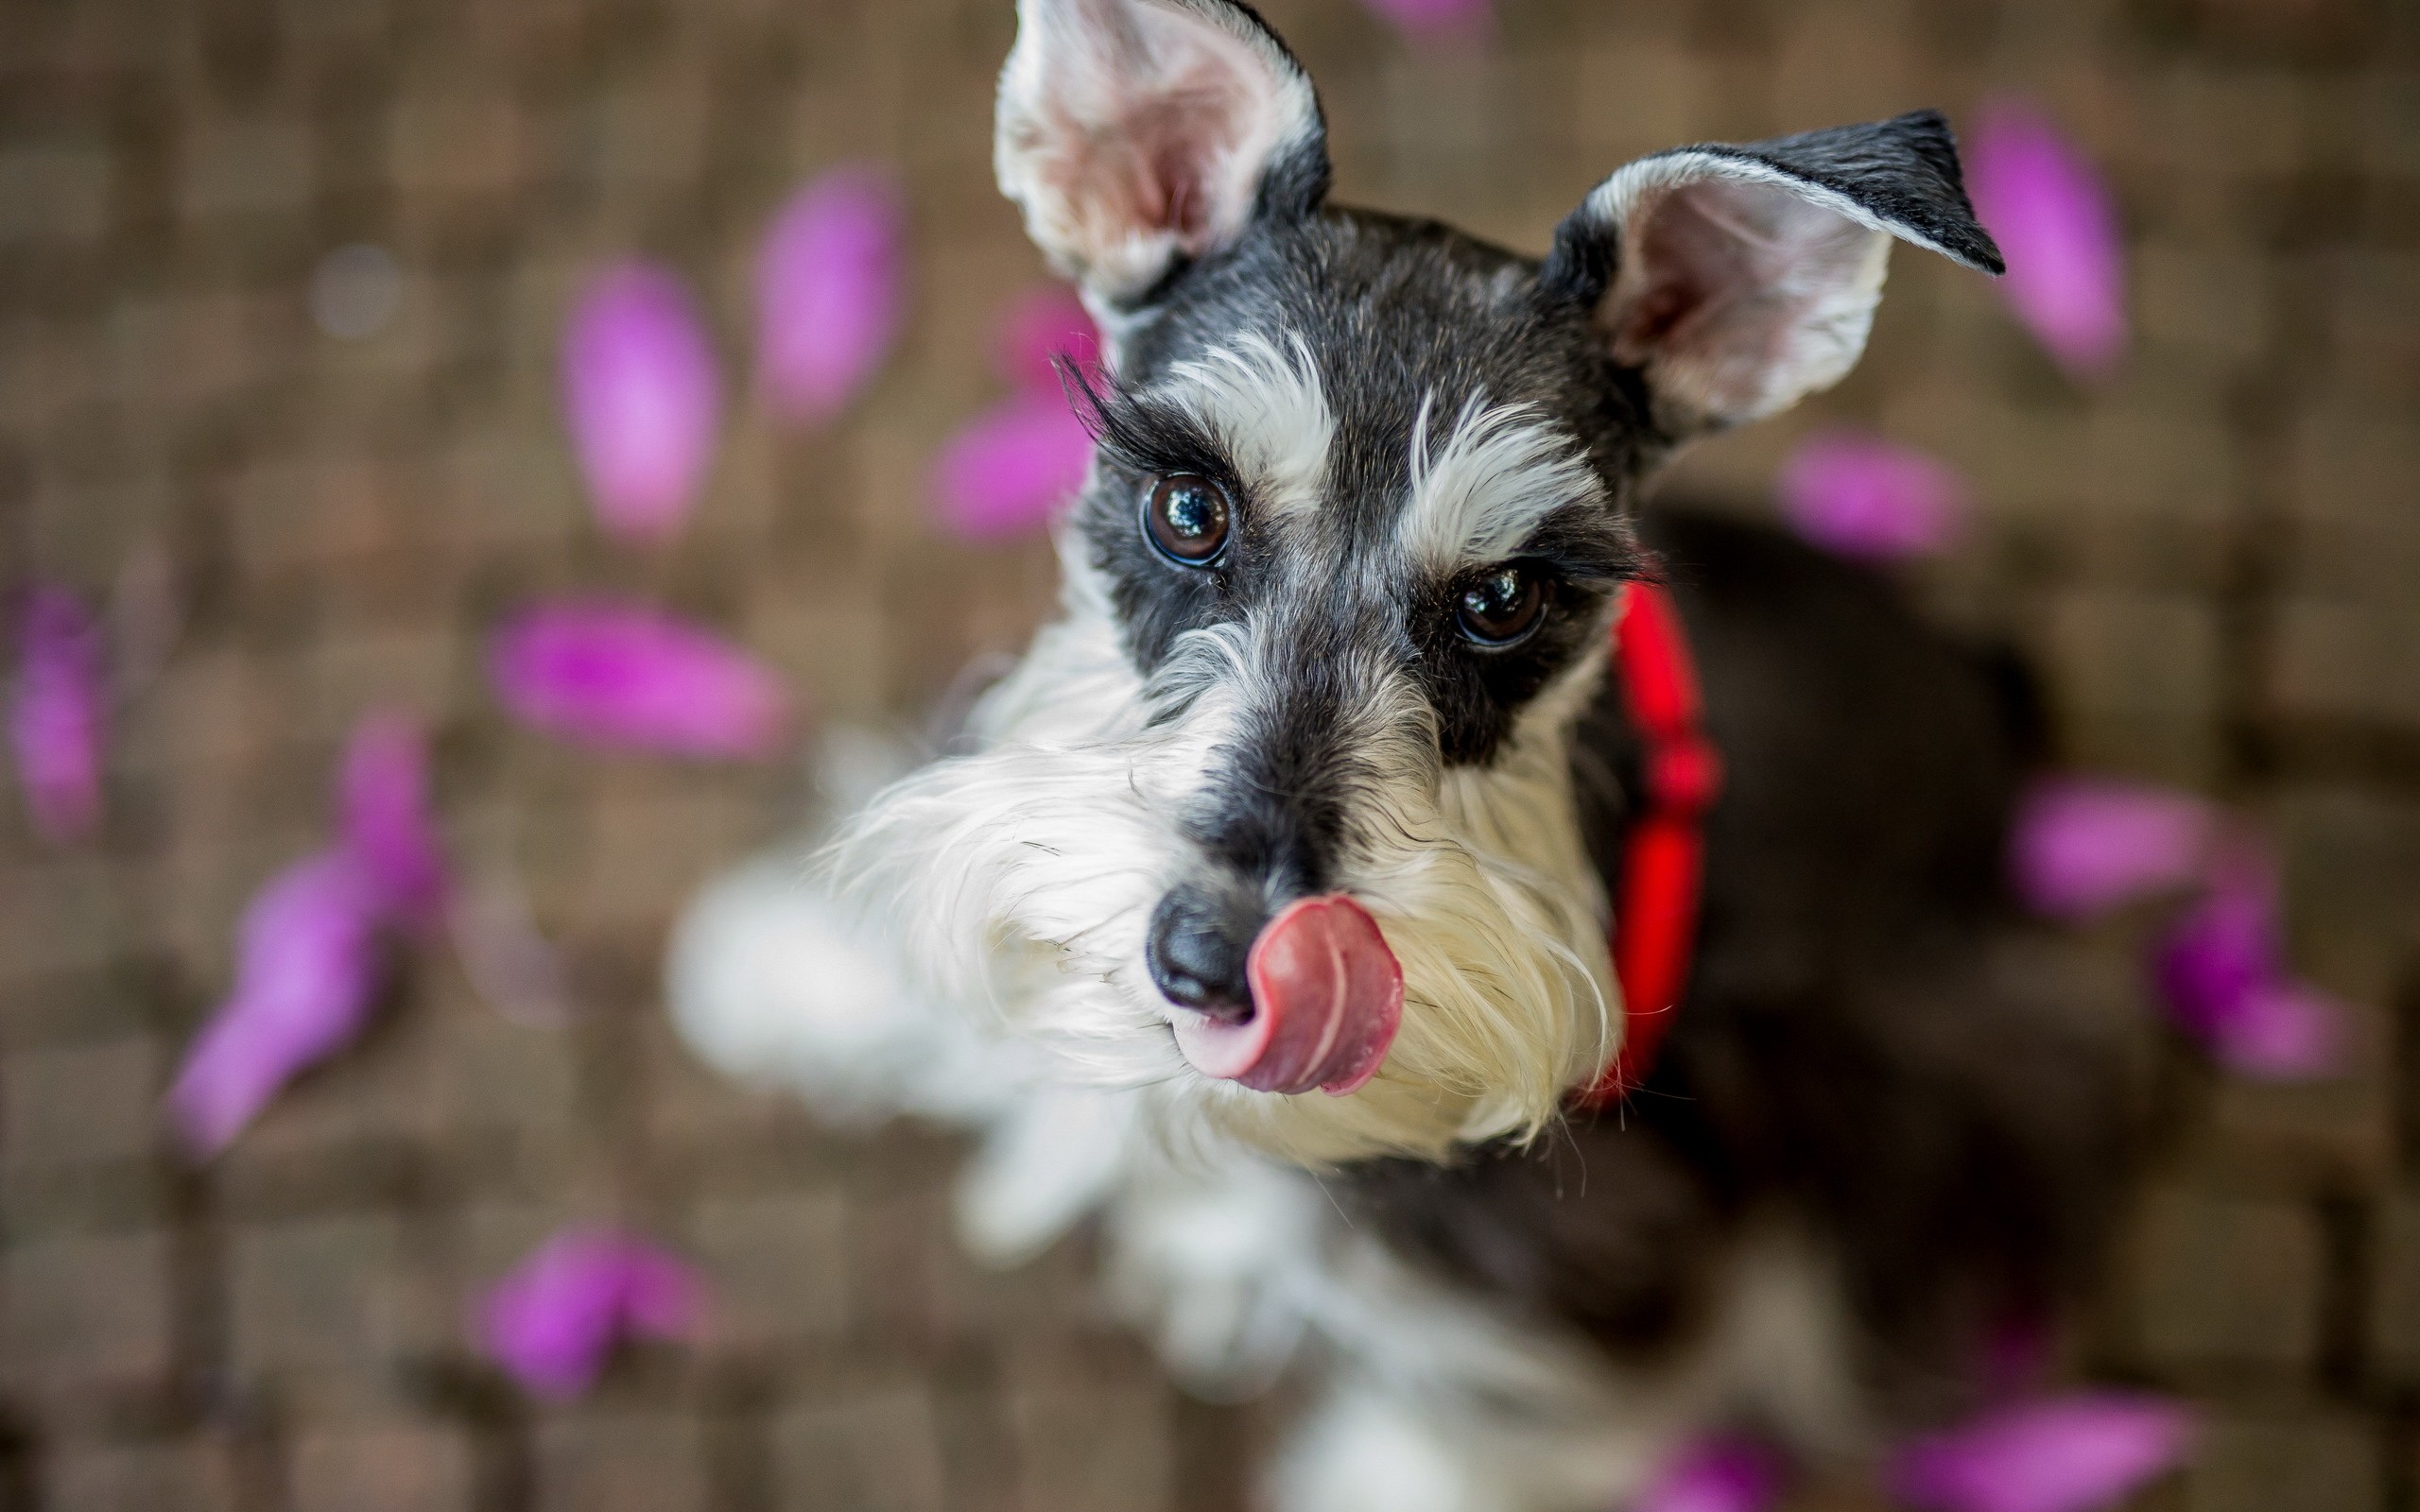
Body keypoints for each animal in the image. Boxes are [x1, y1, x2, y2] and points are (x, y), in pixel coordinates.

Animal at [672, 6, 2149, 1500]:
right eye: (1188, 507)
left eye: (1505, 598)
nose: (1214, 962)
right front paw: (807, 961)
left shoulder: (1589, 1241)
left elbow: (1504, 1403)